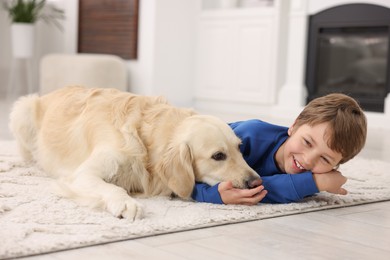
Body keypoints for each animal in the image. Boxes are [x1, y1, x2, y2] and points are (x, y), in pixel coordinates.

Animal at [8, 86, 262, 220]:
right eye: (218, 156)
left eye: (239, 148)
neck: (146, 142)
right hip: (23, 109)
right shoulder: (82, 175)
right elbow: (113, 187)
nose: (256, 182)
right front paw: (126, 203)